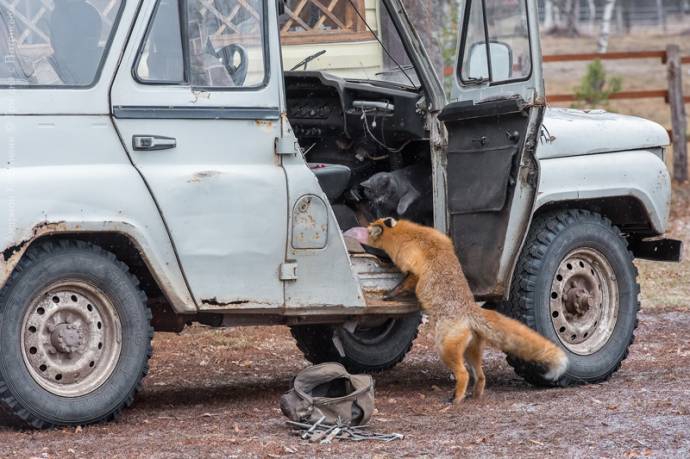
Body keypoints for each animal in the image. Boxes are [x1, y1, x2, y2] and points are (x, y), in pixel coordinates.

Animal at [366, 218, 564, 402]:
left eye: (369, 231)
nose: (364, 229)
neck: (409, 234)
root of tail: (471, 310)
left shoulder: (413, 269)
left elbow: (402, 285)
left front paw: (389, 295)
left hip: (445, 349)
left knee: (464, 374)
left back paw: (456, 398)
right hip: (471, 351)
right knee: (481, 376)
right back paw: (474, 395)